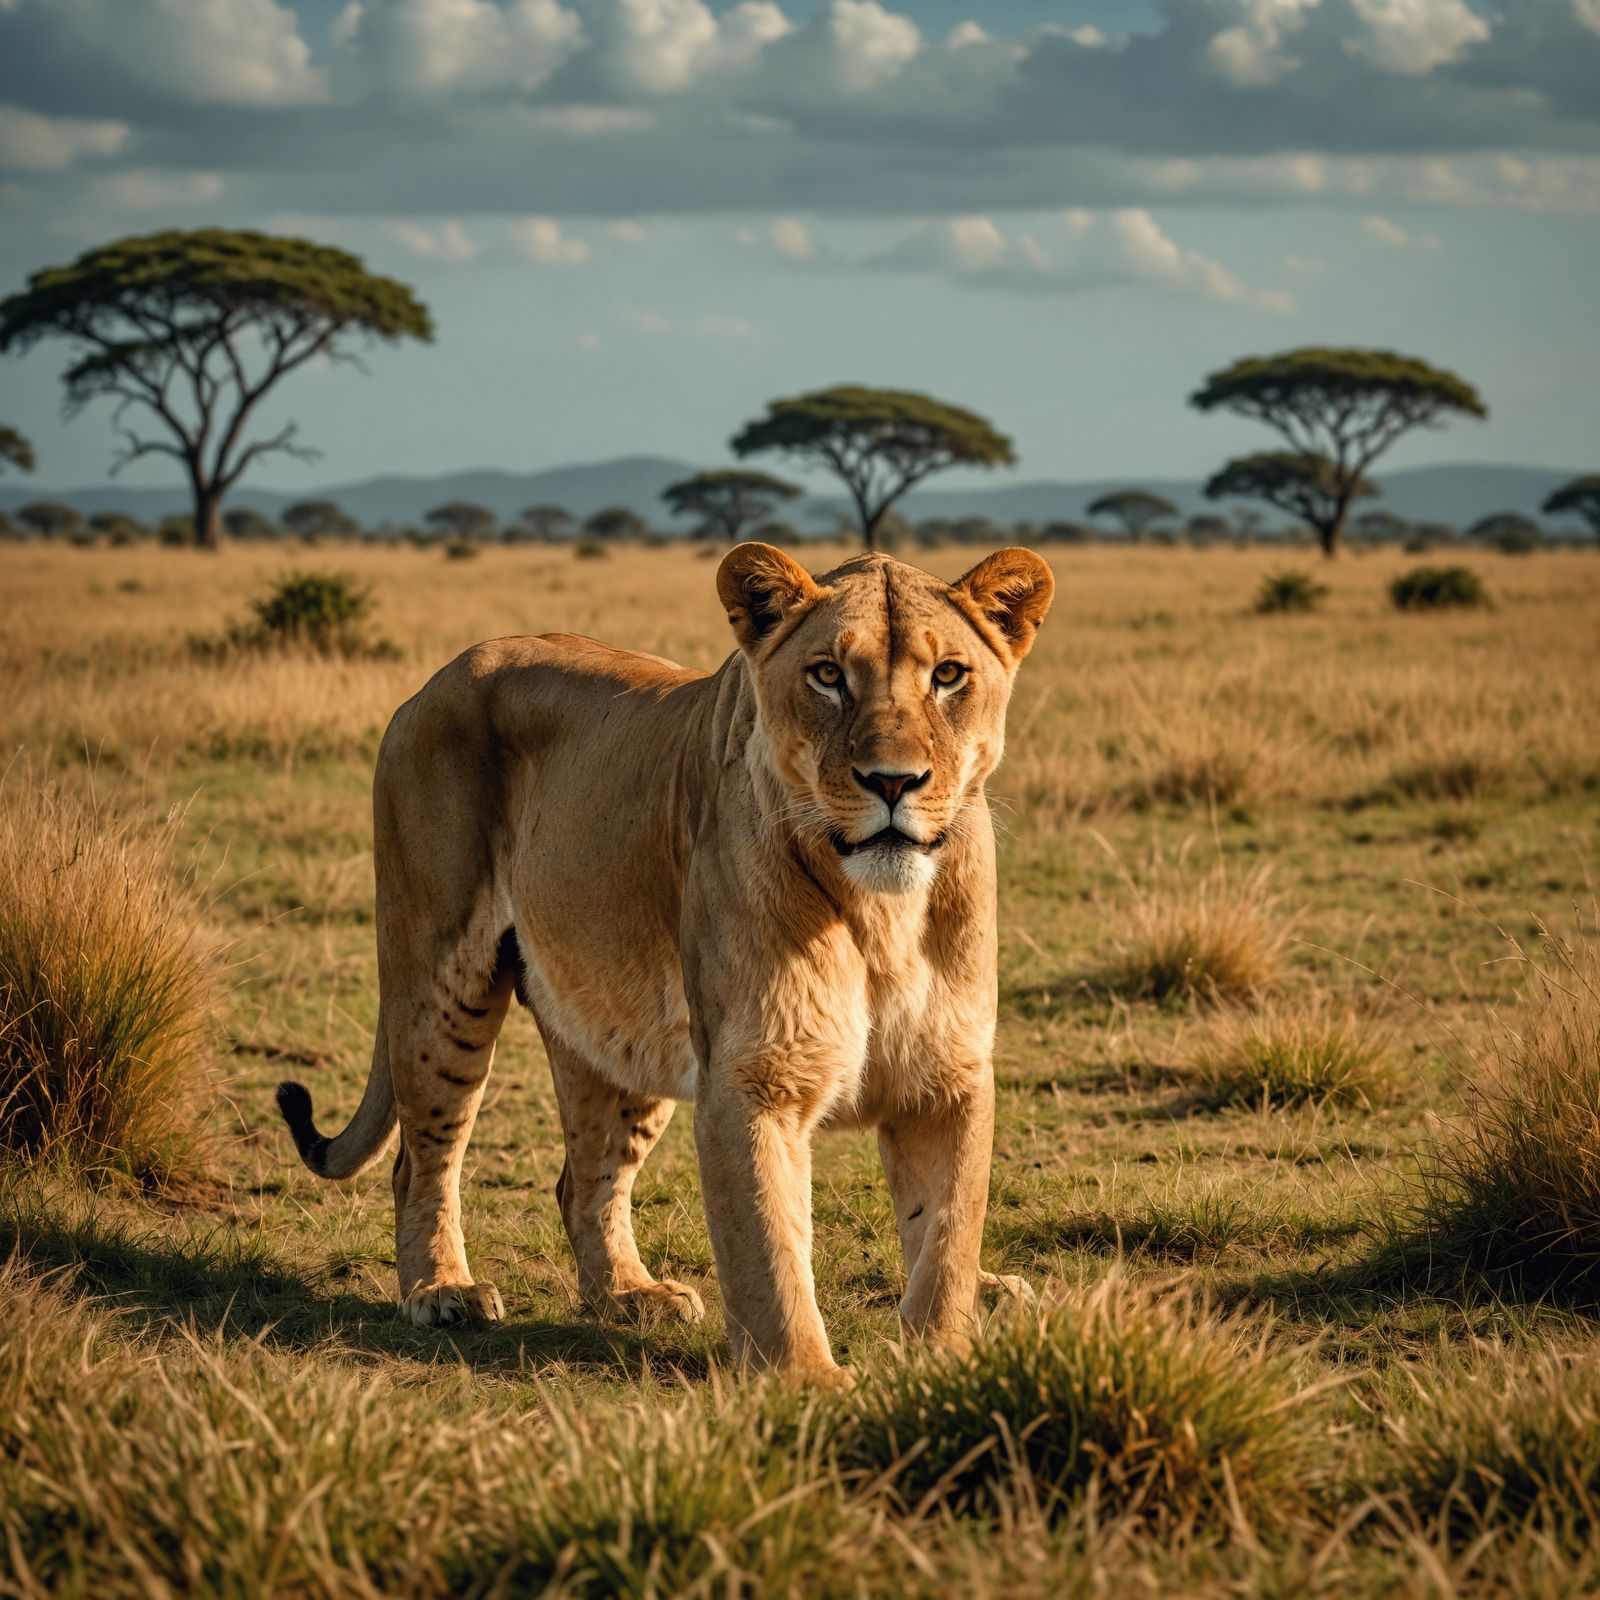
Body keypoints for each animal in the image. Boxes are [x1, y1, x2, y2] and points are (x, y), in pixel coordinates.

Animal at [277, 541, 1053, 1379]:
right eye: (826, 675)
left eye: (948, 675)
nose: (893, 781)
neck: (882, 912)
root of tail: (438, 677)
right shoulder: (753, 1077)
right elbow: (769, 1249)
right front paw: (806, 1381)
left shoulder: (948, 1072)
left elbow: (947, 1233)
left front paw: (946, 1354)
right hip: (442, 981)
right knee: (420, 1160)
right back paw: (442, 1289)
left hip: (622, 1022)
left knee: (583, 1179)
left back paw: (628, 1293)